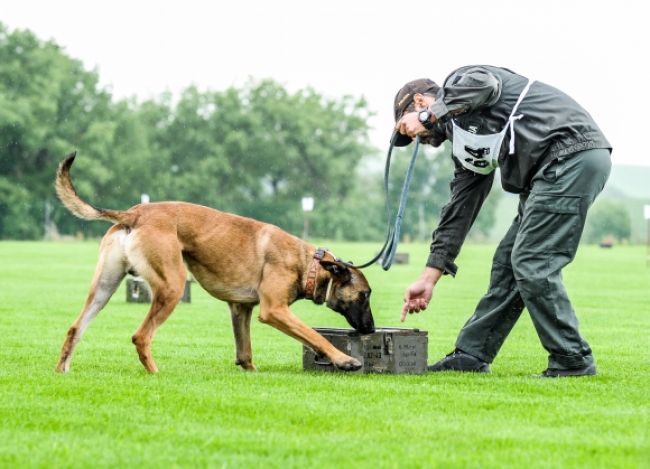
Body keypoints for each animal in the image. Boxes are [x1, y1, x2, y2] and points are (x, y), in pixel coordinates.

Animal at [55, 154, 374, 372]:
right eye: (365, 295)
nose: (371, 330)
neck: (308, 263)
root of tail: (134, 213)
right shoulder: (274, 310)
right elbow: (314, 336)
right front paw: (345, 359)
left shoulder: (241, 309)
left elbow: (245, 352)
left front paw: (251, 371)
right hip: (172, 286)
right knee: (140, 336)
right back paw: (156, 374)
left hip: (104, 288)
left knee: (74, 328)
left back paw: (62, 371)